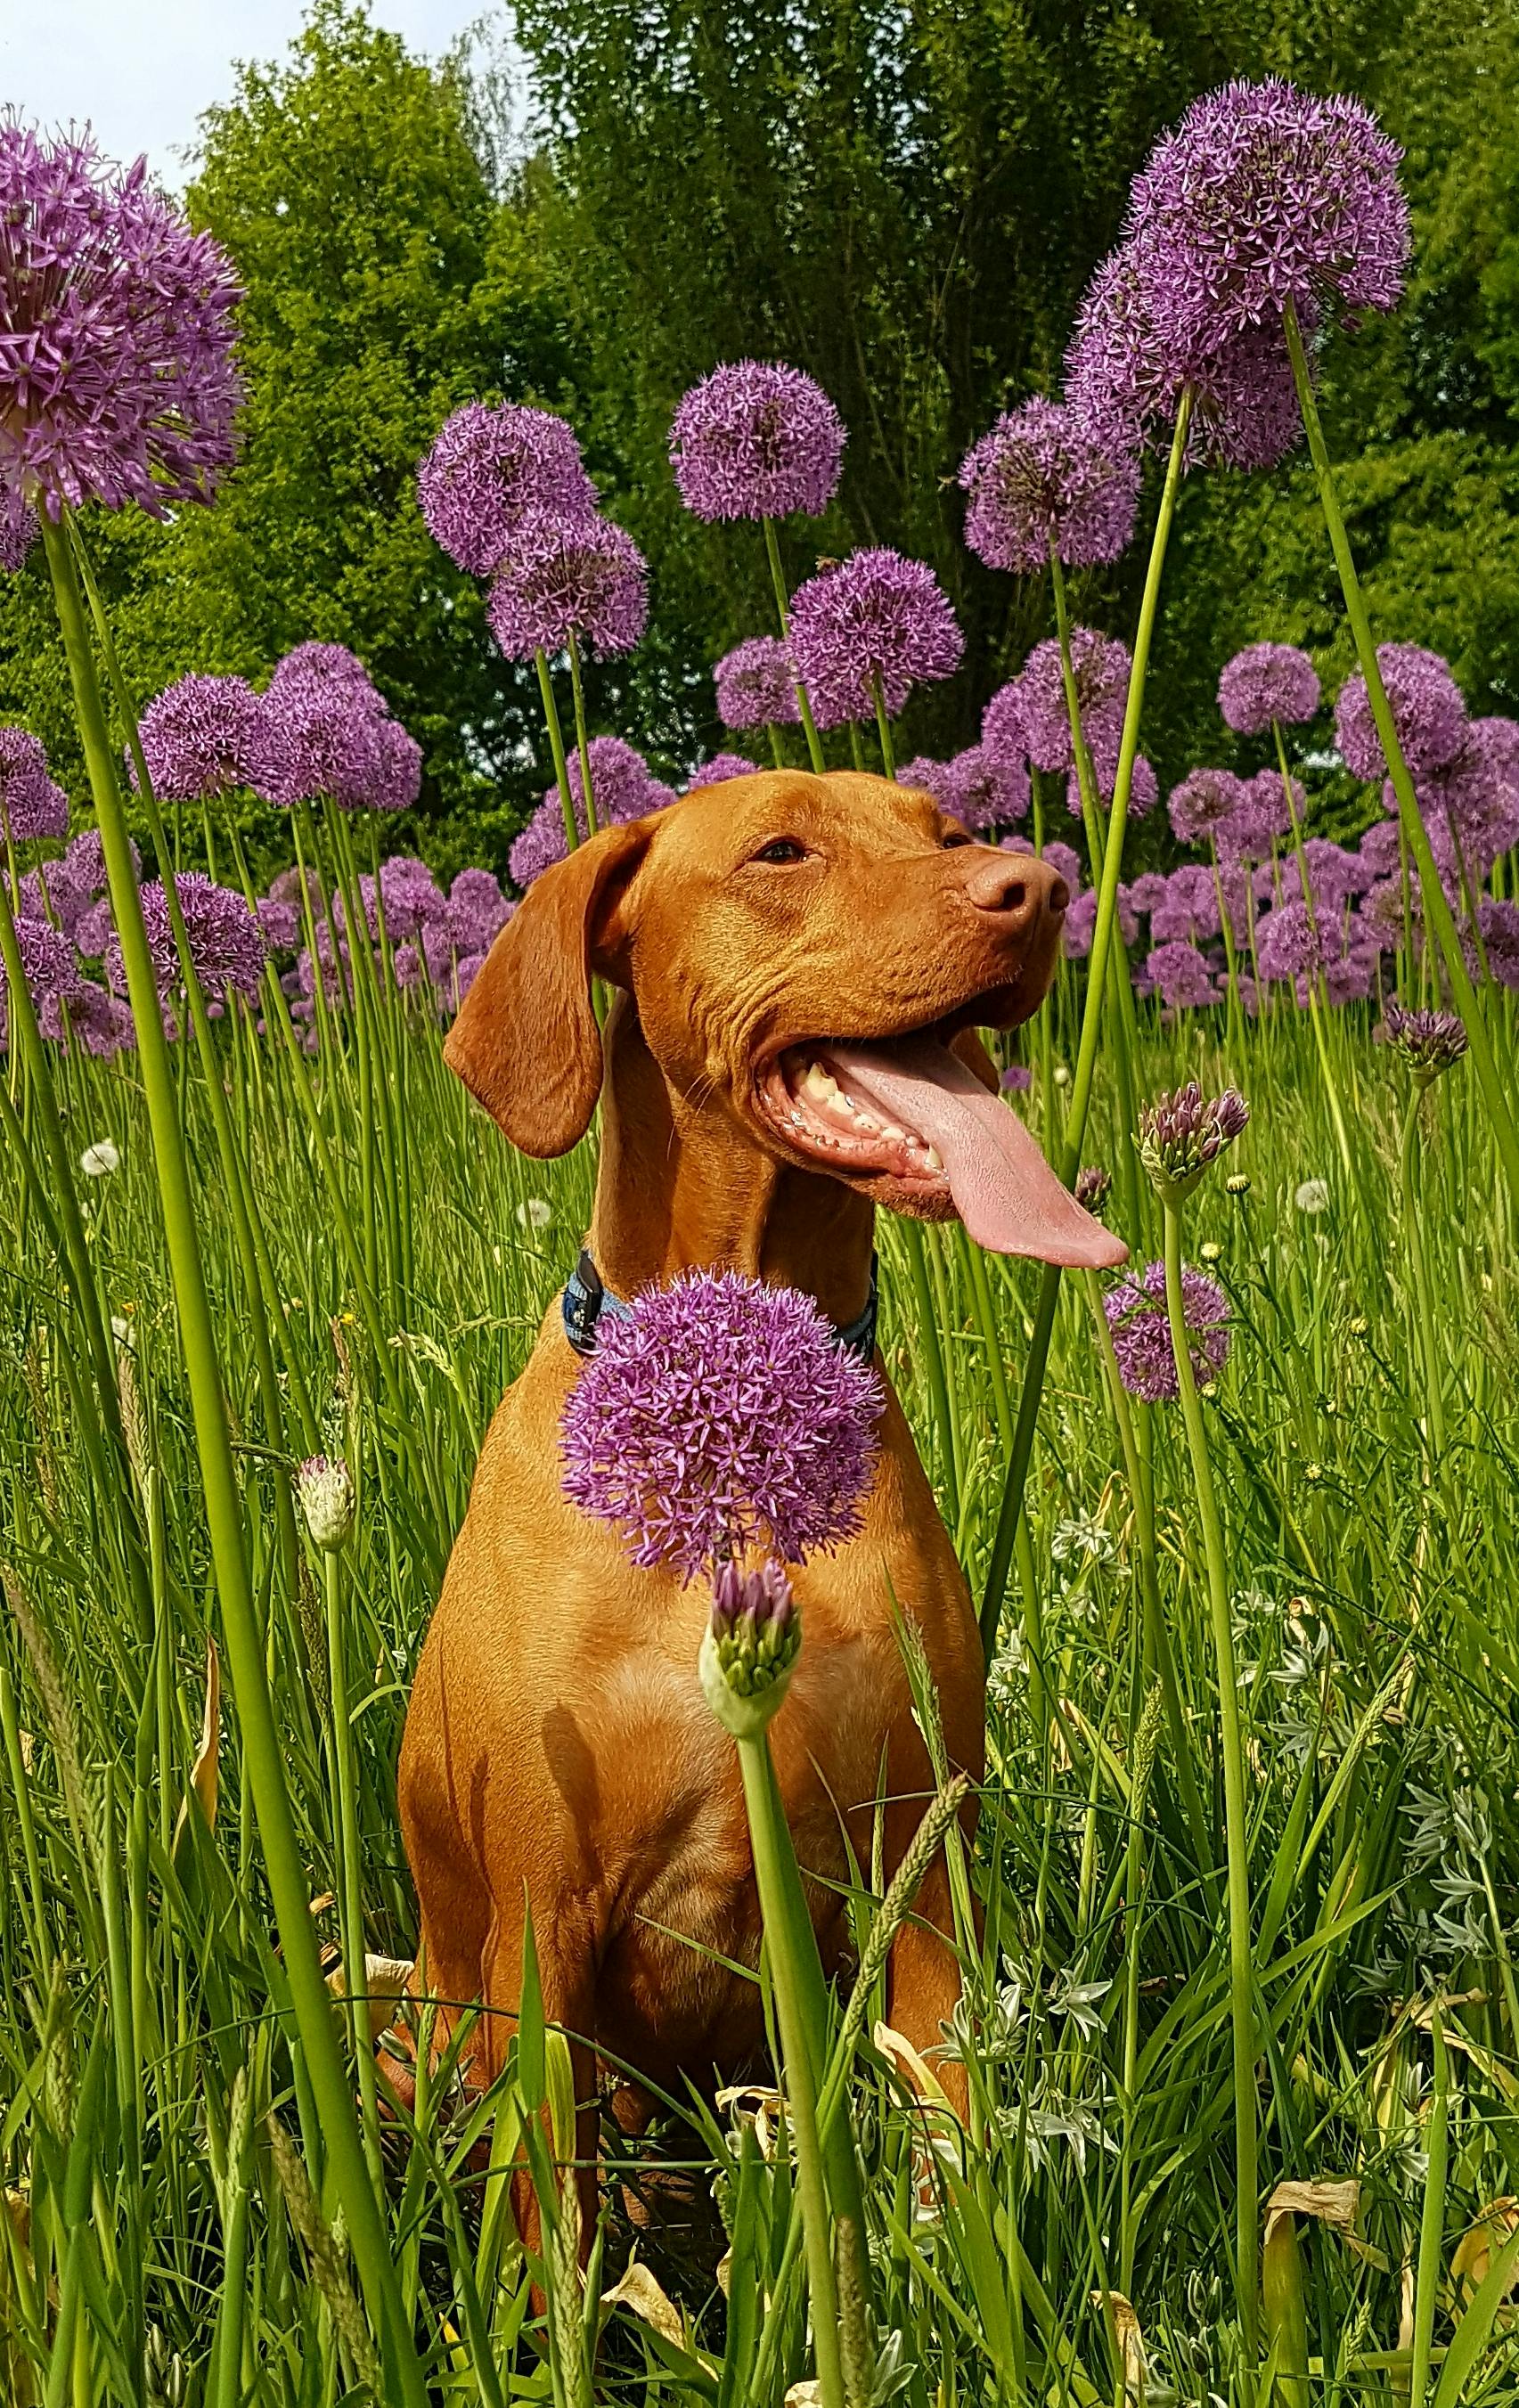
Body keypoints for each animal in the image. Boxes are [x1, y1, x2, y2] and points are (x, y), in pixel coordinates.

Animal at [396, 770, 1122, 2215]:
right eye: (781, 849)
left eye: (948, 833)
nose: (1036, 888)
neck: (737, 1425)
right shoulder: (541, 1919)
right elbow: (555, 2231)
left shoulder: (923, 1874)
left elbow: (951, 2153)